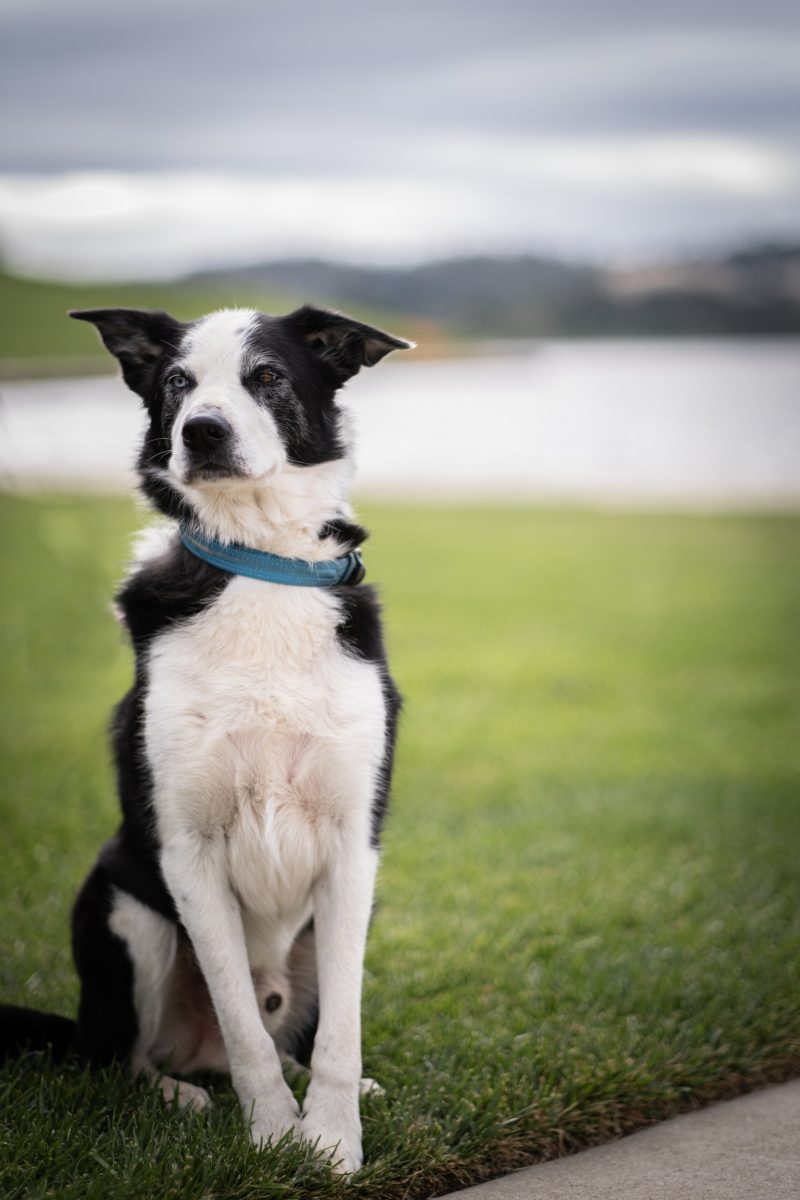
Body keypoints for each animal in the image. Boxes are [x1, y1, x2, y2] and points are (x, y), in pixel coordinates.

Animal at [0, 300, 412, 1171]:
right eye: (177, 383)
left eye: (269, 376)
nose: (203, 431)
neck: (261, 565)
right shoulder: (186, 852)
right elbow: (242, 1024)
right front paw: (275, 1138)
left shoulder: (353, 843)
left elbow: (341, 1031)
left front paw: (331, 1139)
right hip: (124, 910)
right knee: (124, 1056)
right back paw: (177, 1094)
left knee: (297, 1034)